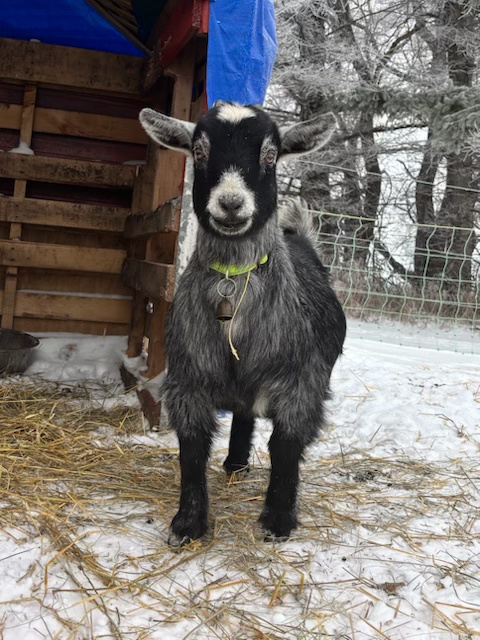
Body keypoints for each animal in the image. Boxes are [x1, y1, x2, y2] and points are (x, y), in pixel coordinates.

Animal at [139, 102, 346, 544]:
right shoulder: (188, 381)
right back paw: (235, 462)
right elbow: (191, 449)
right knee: (244, 414)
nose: (231, 204)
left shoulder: (302, 384)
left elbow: (285, 447)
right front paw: (188, 522)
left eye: (270, 154)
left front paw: (278, 520)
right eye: (199, 151)